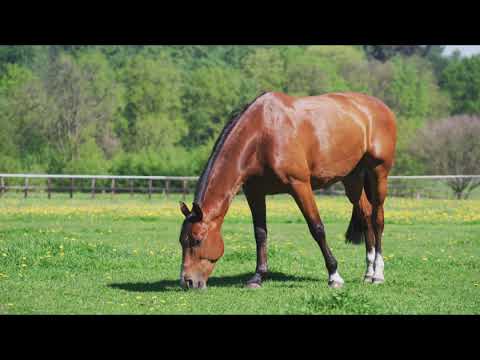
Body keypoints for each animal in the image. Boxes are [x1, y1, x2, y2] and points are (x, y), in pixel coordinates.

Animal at [178, 90, 396, 290]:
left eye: (197, 240)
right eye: (182, 241)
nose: (187, 282)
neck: (262, 134)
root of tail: (380, 107)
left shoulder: (300, 185)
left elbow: (317, 228)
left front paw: (334, 275)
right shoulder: (254, 192)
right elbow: (260, 233)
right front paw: (258, 277)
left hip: (379, 173)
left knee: (377, 219)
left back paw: (378, 274)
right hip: (352, 179)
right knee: (366, 216)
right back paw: (368, 273)